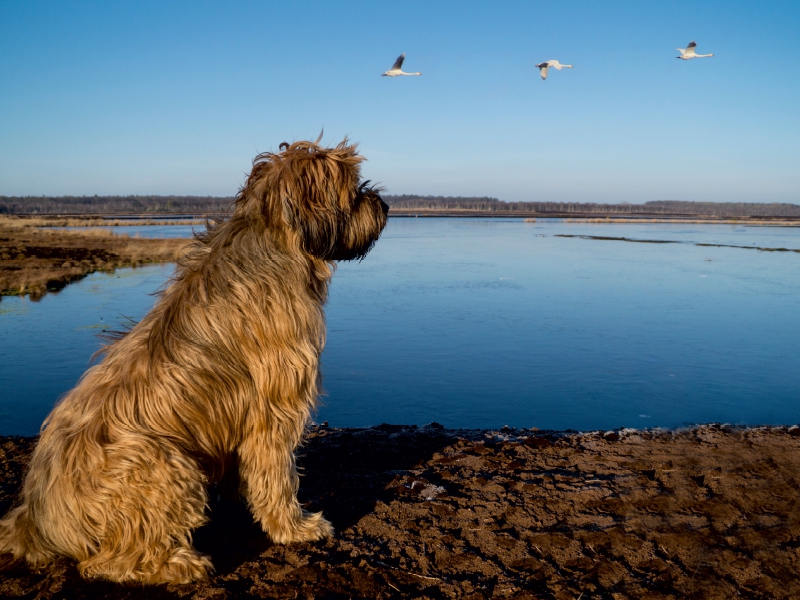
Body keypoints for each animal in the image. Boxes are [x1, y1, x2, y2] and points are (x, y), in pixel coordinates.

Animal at [0, 139, 388, 580]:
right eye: (354, 190)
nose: (384, 205)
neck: (274, 241)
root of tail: (35, 519)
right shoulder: (275, 406)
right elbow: (277, 473)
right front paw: (294, 527)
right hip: (163, 463)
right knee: (107, 562)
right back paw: (180, 564)